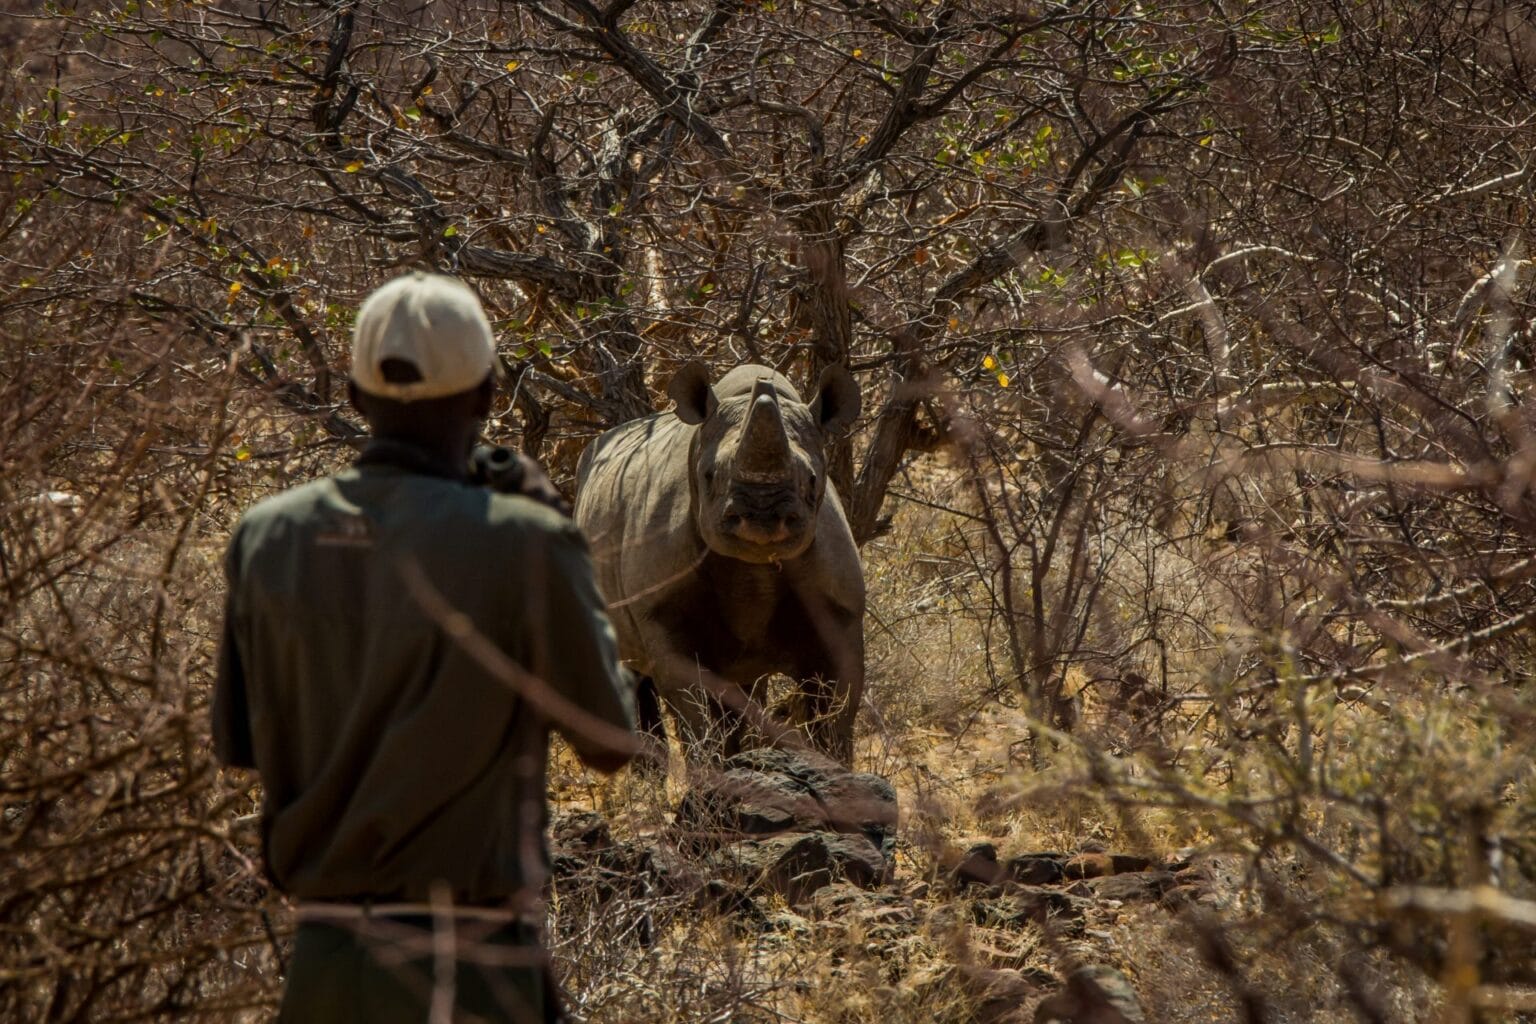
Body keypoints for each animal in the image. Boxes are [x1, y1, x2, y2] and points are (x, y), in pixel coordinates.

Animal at [574, 362, 864, 763]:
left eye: (812, 479)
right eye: (709, 475)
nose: (761, 515)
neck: (753, 568)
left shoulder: (841, 611)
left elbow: (836, 713)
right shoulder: (661, 613)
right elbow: (694, 715)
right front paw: (711, 776)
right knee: (632, 670)